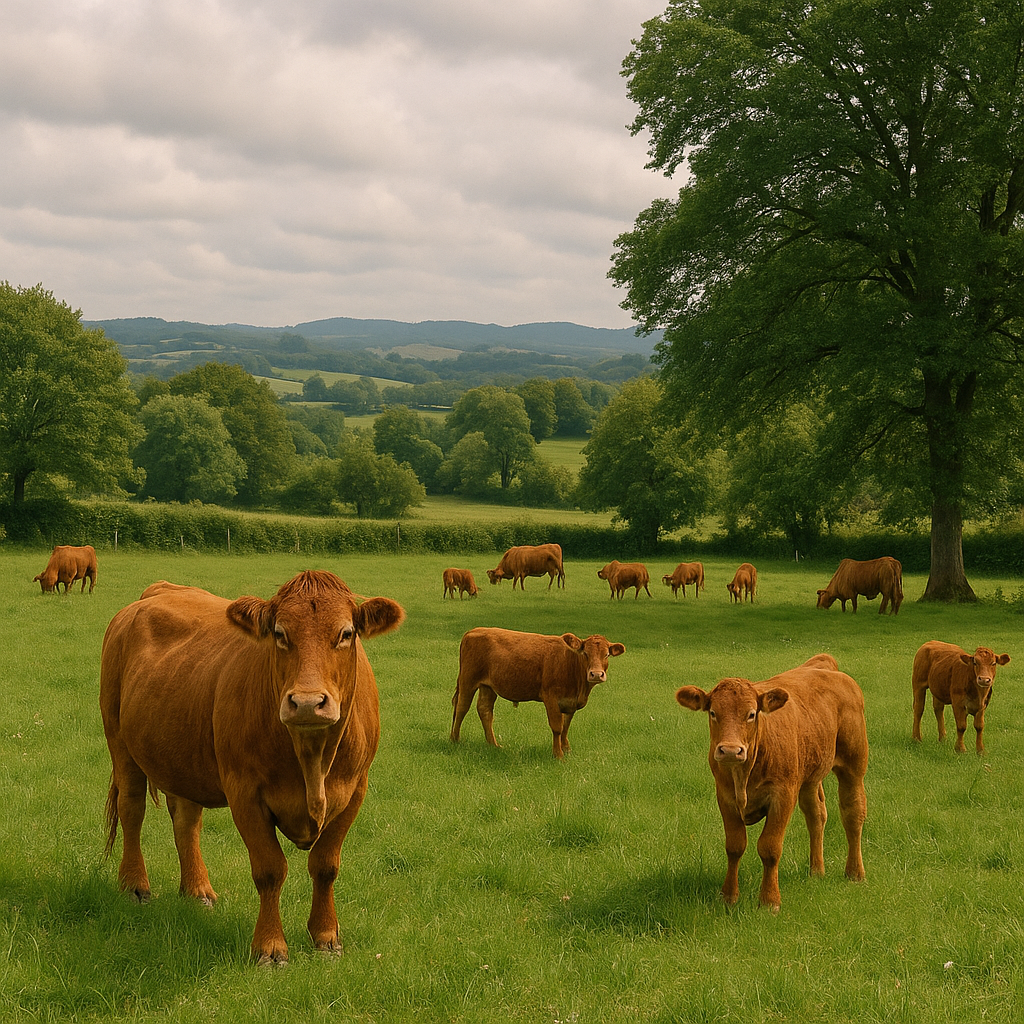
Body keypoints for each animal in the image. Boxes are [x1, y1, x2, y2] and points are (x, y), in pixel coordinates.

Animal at [99, 570, 405, 965]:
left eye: (346, 633)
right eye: (279, 633)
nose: (308, 702)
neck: (312, 761)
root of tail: (157, 591)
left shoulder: (354, 792)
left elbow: (326, 866)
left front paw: (326, 937)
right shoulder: (245, 793)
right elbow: (270, 870)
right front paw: (270, 947)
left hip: (181, 752)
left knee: (186, 821)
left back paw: (198, 890)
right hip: (119, 739)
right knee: (131, 809)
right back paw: (136, 886)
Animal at [450, 627, 625, 759]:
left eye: (606, 655)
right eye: (585, 654)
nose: (596, 674)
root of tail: (474, 630)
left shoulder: (570, 702)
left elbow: (566, 726)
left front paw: (566, 749)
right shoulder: (551, 697)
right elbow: (557, 727)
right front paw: (558, 755)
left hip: (488, 686)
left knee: (485, 710)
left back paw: (494, 744)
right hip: (468, 680)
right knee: (462, 707)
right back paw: (455, 739)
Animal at [676, 654, 868, 911]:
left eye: (751, 714)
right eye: (713, 712)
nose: (730, 750)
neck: (743, 774)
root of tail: (825, 665)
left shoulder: (783, 796)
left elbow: (770, 847)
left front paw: (769, 901)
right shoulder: (725, 797)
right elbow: (734, 845)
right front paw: (729, 896)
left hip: (853, 766)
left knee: (853, 814)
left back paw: (854, 873)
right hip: (809, 776)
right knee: (816, 815)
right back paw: (816, 871)